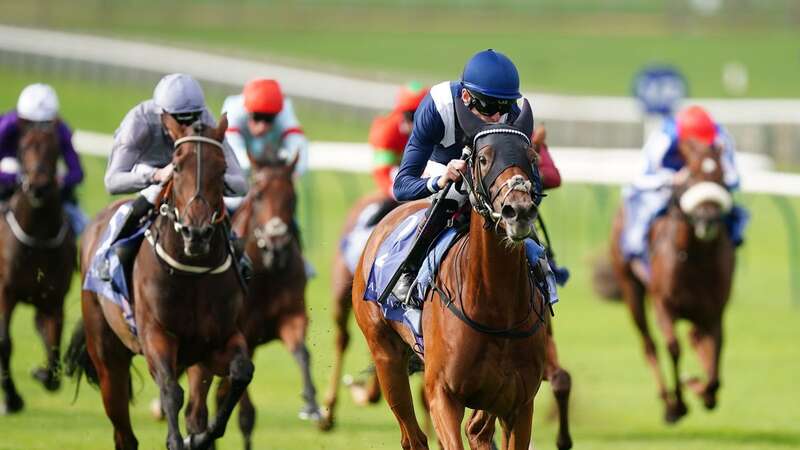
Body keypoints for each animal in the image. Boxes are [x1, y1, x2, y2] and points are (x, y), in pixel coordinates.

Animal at [0, 125, 75, 414]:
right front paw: (12, 399)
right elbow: (5, 343)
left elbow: (53, 345)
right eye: (23, 148)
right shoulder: (6, 293)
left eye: (55, 149)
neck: (38, 240)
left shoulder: (52, 301)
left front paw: (43, 374)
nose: (38, 187)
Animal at [66, 117, 253, 450]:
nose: (196, 233)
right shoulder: (156, 334)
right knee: (124, 432)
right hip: (107, 357)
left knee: (195, 409)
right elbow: (170, 391)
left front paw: (198, 438)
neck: (193, 273)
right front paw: (177, 441)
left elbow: (241, 373)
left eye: (221, 168)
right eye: (176, 167)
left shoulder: (217, 342)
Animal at [217, 153, 320, 448]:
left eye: (292, 197)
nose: (277, 247)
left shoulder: (291, 318)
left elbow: (302, 353)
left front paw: (311, 402)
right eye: (259, 194)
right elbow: (246, 414)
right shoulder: (243, 338)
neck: (266, 273)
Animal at [612, 140, 736, 422]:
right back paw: (667, 400)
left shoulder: (714, 311)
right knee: (649, 344)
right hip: (631, 290)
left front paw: (701, 388)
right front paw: (679, 404)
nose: (708, 219)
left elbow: (716, 360)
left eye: (721, 177)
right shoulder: (664, 304)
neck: (696, 259)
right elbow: (673, 347)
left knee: (696, 338)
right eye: (691, 176)